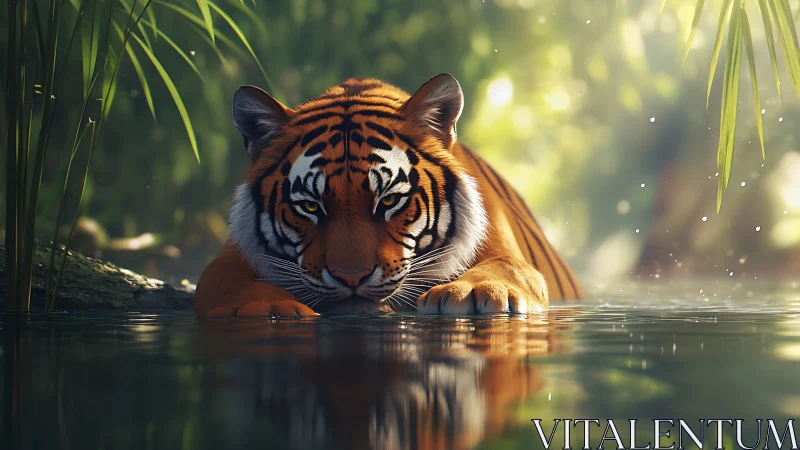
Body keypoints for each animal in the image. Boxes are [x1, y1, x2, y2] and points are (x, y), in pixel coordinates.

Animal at [195, 73, 582, 317]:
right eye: (309, 206)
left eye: (389, 201)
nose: (352, 278)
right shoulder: (230, 258)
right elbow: (222, 277)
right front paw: (264, 307)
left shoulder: (504, 250)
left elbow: (508, 266)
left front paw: (470, 293)